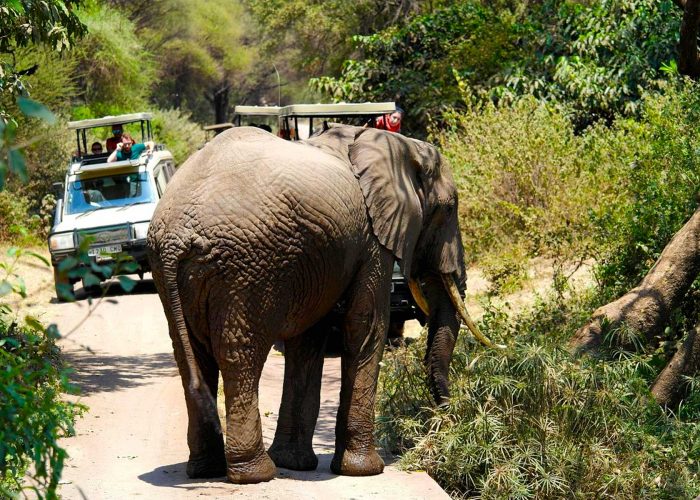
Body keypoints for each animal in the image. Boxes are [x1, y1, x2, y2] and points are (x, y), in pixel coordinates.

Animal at [145, 124, 494, 484]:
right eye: (450, 209)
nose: (447, 421)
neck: (394, 145)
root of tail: (177, 235)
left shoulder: (318, 261)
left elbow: (308, 342)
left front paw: (295, 463)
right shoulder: (371, 241)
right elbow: (366, 325)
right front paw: (365, 470)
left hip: (173, 271)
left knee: (192, 356)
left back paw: (206, 469)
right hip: (245, 268)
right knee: (239, 355)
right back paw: (255, 473)